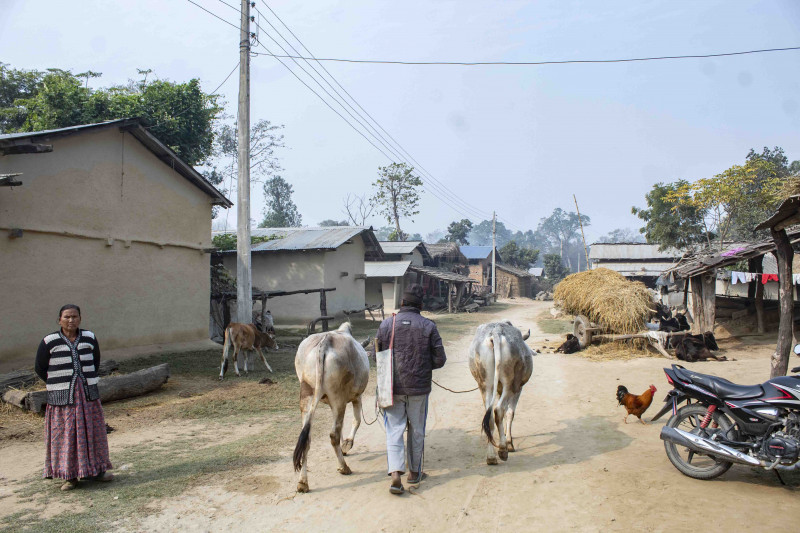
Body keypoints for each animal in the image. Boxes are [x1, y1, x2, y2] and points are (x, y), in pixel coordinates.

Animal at [292, 320, 370, 490]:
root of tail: (325, 342)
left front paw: (344, 445)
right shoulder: (357, 397)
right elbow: (356, 421)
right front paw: (347, 444)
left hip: (306, 397)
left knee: (307, 438)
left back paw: (303, 482)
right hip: (338, 399)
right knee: (333, 434)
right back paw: (344, 467)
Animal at [466, 320, 536, 462]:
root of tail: (496, 332)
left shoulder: (497, 390)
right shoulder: (518, 389)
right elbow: (509, 413)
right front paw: (509, 442)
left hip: (485, 385)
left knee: (490, 417)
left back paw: (491, 457)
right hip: (510, 385)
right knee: (498, 410)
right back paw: (503, 449)